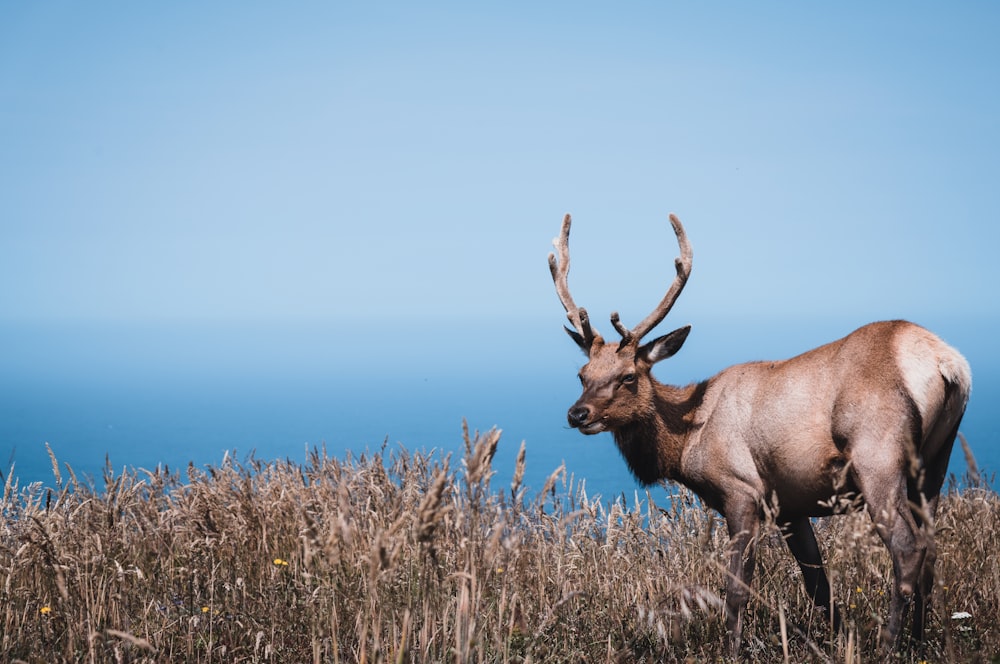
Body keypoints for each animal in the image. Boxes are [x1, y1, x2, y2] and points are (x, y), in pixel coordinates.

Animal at [548, 213, 968, 652]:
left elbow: (736, 589)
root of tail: (948, 363)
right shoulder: (790, 505)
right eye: (582, 374)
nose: (578, 413)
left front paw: (731, 650)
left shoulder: (742, 490)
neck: (687, 439)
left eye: (628, 376)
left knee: (907, 549)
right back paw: (920, 641)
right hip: (935, 463)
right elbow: (818, 584)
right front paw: (837, 641)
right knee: (930, 552)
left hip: (877, 456)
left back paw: (889, 645)